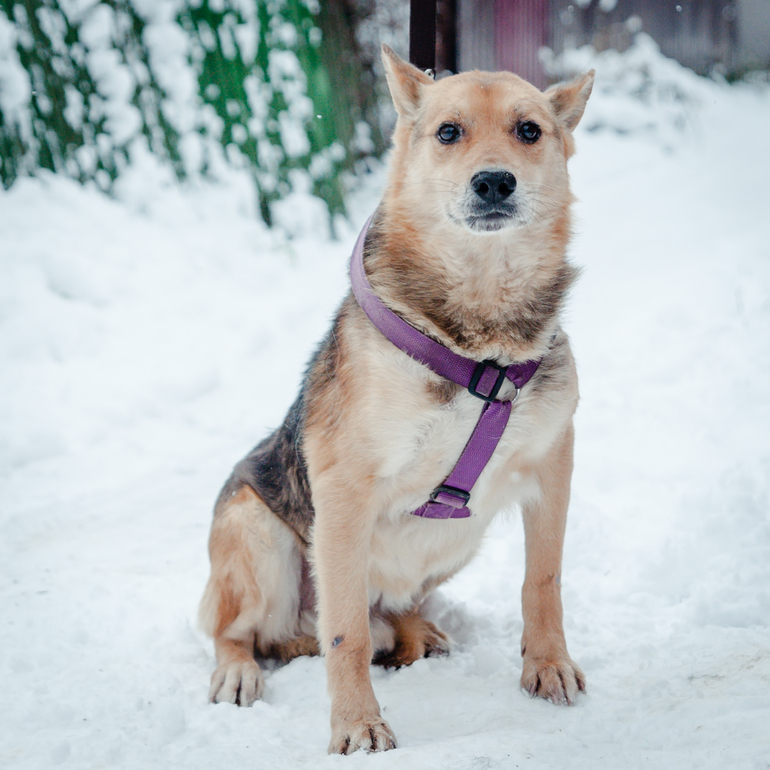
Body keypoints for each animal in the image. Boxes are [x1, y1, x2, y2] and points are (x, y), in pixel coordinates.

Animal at [199, 45, 594, 754]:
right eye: (448, 132)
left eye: (528, 130)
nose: (494, 182)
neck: (481, 338)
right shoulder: (344, 491)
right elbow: (345, 633)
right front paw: (357, 723)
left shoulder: (554, 463)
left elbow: (543, 581)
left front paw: (548, 665)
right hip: (256, 533)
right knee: (246, 632)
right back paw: (240, 670)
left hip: (460, 535)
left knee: (395, 609)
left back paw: (417, 632)